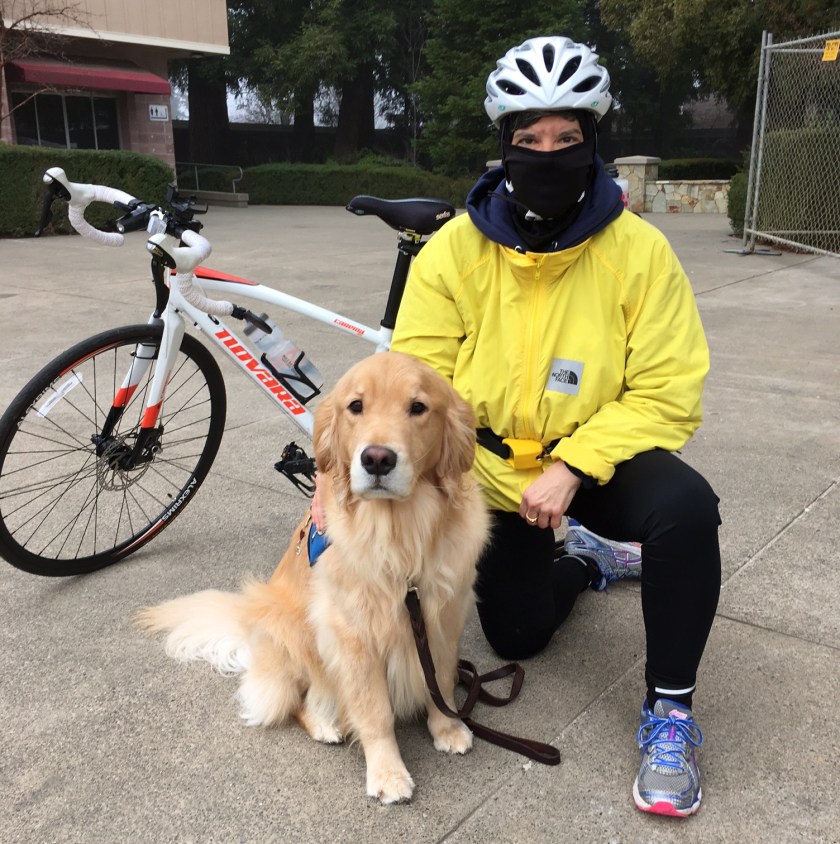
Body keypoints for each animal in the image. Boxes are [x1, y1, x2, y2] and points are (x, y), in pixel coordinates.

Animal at [136, 351, 489, 803]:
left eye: (418, 407)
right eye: (356, 406)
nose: (377, 459)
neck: (400, 540)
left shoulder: (441, 618)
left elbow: (439, 683)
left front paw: (447, 728)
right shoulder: (352, 635)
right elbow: (374, 712)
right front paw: (387, 773)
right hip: (297, 632)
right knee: (298, 702)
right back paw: (324, 722)